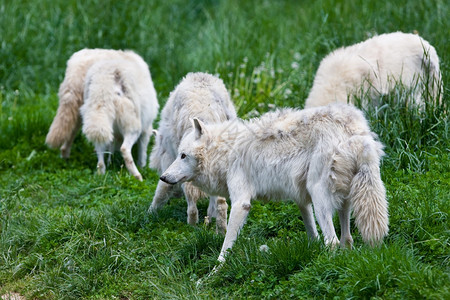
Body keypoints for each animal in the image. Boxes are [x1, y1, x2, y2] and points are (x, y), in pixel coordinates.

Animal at [80, 51, 159, 180]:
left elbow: (110, 150)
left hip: (98, 123)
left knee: (100, 157)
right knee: (125, 149)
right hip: (133, 127)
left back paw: (101, 174)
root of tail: (106, 77)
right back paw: (138, 176)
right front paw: (143, 167)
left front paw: (110, 163)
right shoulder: (146, 130)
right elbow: (142, 151)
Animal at [149, 71, 237, 233]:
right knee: (221, 202)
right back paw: (220, 231)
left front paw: (150, 214)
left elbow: (161, 190)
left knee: (192, 203)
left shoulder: (171, 161)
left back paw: (192, 227)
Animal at [160, 103, 388, 262]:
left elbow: (225, 247)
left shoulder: (241, 203)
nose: (163, 177)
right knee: (346, 239)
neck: (224, 151)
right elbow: (312, 233)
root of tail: (354, 129)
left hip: (320, 196)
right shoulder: (301, 198)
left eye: (183, 155)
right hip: (342, 196)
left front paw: (213, 273)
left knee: (332, 241)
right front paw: (311, 251)